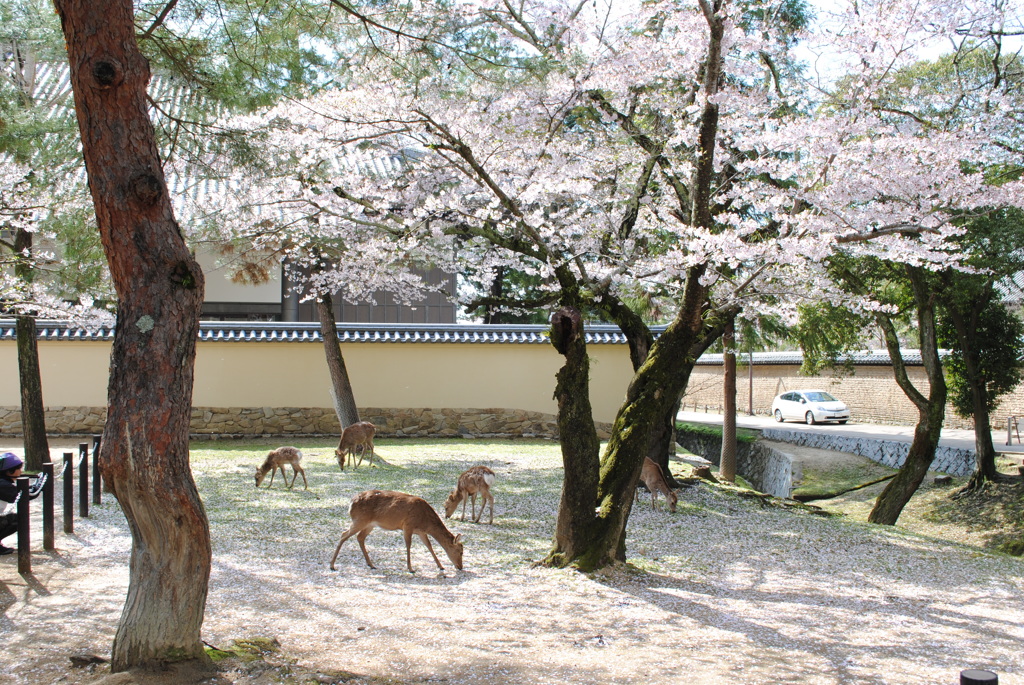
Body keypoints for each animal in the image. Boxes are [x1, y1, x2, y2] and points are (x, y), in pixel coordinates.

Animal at [329, 489, 466, 573]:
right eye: (460, 551)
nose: (460, 567)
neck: (426, 521)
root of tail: (351, 503)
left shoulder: (421, 532)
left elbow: (429, 546)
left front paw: (441, 566)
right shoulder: (408, 525)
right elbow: (408, 545)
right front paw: (410, 568)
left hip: (370, 524)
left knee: (360, 537)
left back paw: (371, 564)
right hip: (359, 520)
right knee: (344, 534)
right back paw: (332, 565)